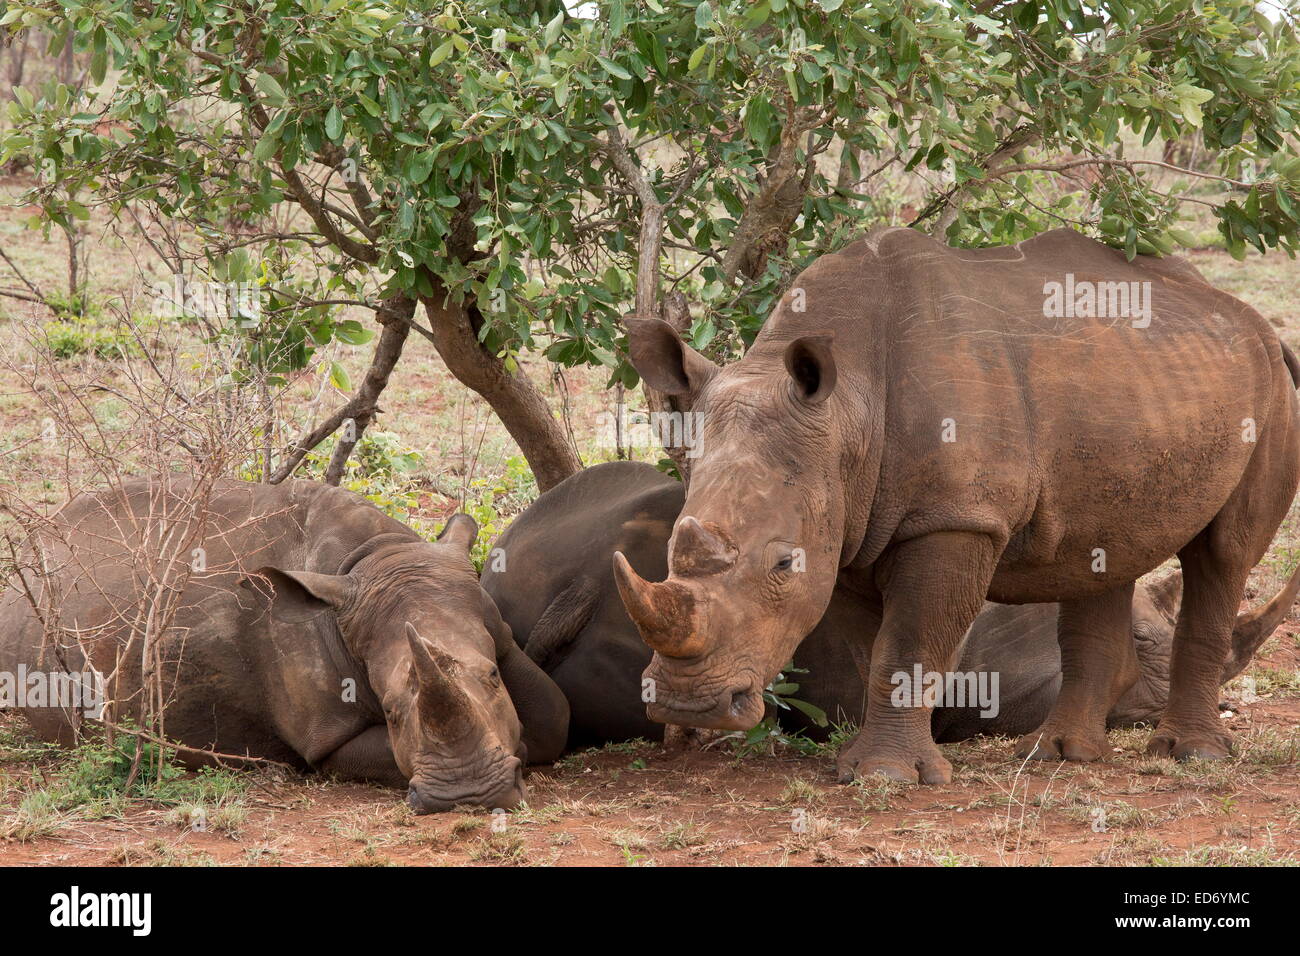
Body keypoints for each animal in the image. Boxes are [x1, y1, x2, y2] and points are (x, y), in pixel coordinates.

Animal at [0, 476, 569, 811]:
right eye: (389, 710)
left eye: (492, 676)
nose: (466, 798)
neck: (377, 557)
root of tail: (40, 537)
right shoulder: (323, 732)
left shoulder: (490, 622)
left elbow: (551, 716)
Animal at [611, 226, 1300, 785]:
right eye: (671, 547)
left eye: (783, 565)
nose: (689, 704)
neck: (846, 411)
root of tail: (1251, 320)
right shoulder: (849, 523)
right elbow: (874, 649)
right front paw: (859, 763)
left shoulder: (954, 519)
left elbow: (910, 637)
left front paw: (885, 776)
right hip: (1140, 387)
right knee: (1103, 552)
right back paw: (1058, 755)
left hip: (1269, 392)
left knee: (1223, 553)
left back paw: (1191, 755)